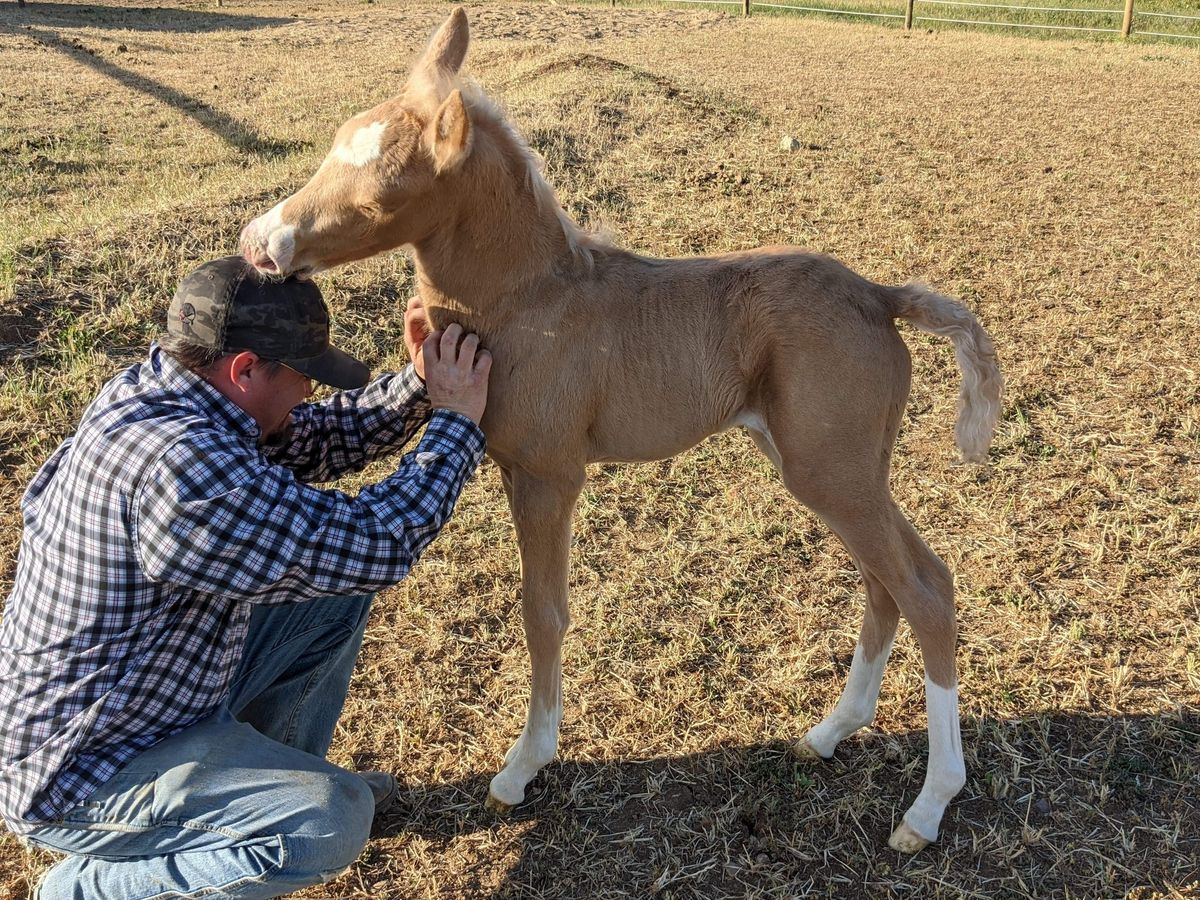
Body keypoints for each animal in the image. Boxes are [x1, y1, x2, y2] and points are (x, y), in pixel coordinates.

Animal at [238, 8, 998, 854]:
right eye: (337, 142)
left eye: (381, 195)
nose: (259, 241)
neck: (528, 302)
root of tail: (878, 294)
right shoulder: (515, 468)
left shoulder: (549, 476)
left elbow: (543, 612)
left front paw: (522, 767)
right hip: (832, 471)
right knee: (886, 582)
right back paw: (829, 734)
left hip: (834, 472)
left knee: (925, 590)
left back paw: (927, 808)